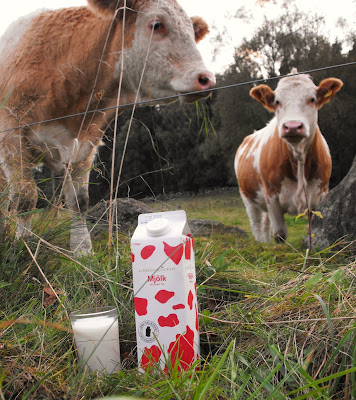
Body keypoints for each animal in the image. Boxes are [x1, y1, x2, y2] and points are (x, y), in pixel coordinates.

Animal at [0, 0, 214, 255]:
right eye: (156, 24)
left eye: (192, 32)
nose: (206, 79)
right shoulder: (12, 137)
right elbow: (25, 198)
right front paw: (23, 247)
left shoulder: (85, 144)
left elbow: (79, 201)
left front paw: (82, 250)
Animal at [235, 70, 344, 242]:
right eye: (277, 101)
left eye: (312, 99)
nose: (292, 126)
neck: (298, 157)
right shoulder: (271, 197)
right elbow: (280, 235)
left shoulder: (320, 196)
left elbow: (312, 231)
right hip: (248, 198)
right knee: (257, 225)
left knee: (265, 226)